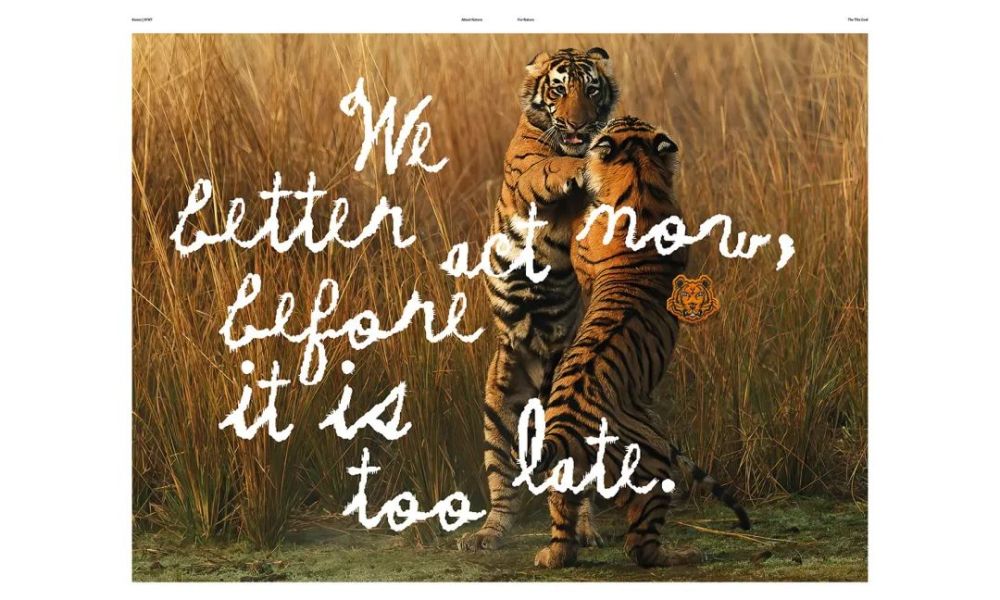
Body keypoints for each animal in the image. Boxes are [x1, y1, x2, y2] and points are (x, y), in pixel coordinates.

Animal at [457, 47, 620, 553]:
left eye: (591, 90)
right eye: (559, 89)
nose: (580, 126)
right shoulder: (526, 178)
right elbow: (547, 170)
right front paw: (577, 165)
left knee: (576, 485)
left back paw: (586, 530)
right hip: (499, 414)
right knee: (503, 489)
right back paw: (485, 535)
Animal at [530, 117, 751, 569]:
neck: (638, 177)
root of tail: (565, 427)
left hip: (644, 463)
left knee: (636, 547)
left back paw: (681, 553)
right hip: (612, 467)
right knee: (598, 534)